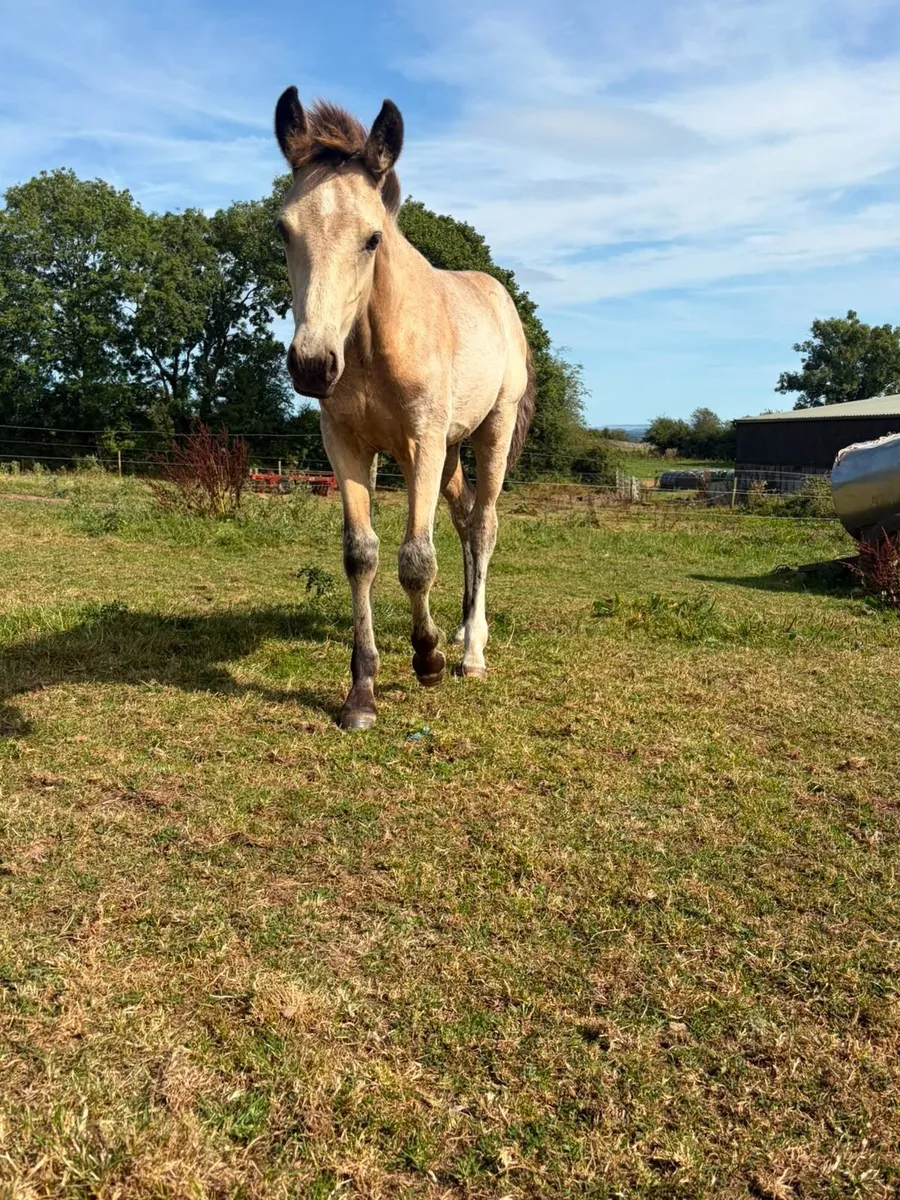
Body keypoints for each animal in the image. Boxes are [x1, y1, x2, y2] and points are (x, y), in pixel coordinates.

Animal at [273, 87, 535, 730]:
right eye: (283, 231)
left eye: (372, 238)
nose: (312, 364)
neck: (371, 345)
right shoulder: (346, 445)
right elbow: (360, 556)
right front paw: (361, 692)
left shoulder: (421, 442)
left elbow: (415, 558)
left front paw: (427, 658)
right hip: (452, 451)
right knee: (464, 520)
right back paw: (462, 629)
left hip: (487, 435)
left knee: (484, 524)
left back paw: (470, 652)